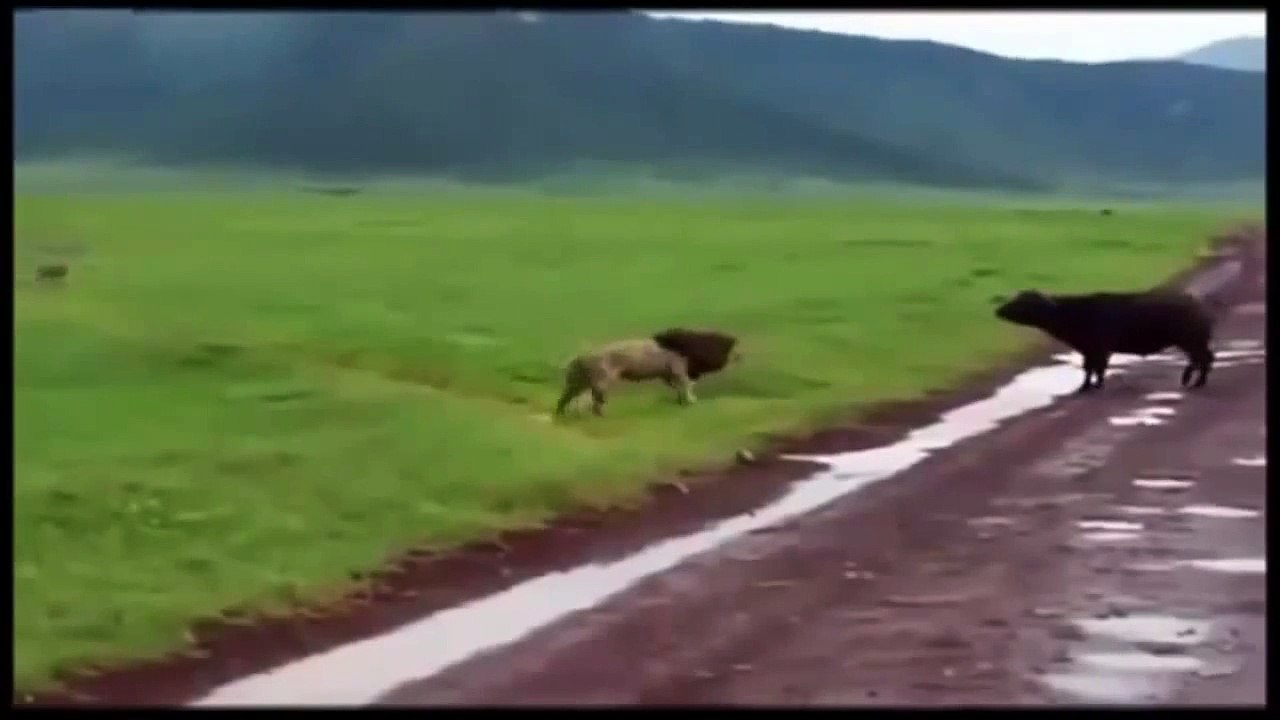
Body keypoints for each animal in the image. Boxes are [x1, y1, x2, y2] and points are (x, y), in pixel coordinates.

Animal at [553, 328, 741, 417]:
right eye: (734, 350)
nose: (742, 356)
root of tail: (579, 358)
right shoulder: (678, 369)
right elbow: (686, 385)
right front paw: (691, 402)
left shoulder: (669, 374)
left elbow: (680, 387)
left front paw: (681, 402)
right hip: (600, 381)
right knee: (596, 402)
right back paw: (602, 415)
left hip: (578, 382)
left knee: (565, 398)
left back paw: (561, 414)